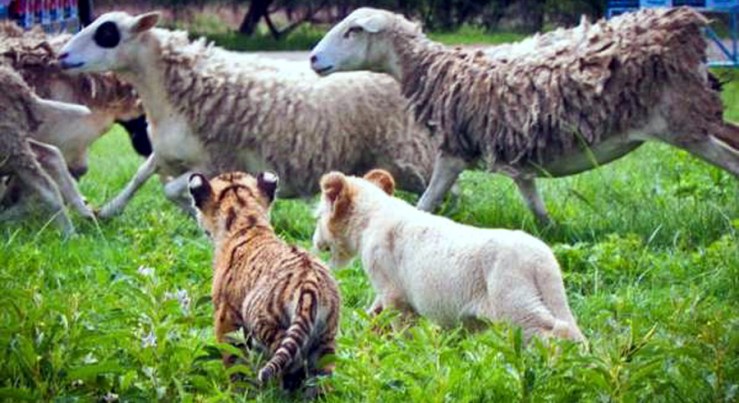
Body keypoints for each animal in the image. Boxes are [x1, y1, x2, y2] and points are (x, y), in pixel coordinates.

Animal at [0, 65, 95, 235]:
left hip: (9, 138)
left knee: (47, 187)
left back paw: (70, 234)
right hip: (15, 137)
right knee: (52, 153)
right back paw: (85, 211)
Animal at [56, 12, 438, 218]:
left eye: (106, 33)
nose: (61, 56)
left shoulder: (217, 161)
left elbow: (172, 190)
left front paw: (194, 212)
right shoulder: (166, 152)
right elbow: (140, 178)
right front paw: (108, 210)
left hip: (408, 155)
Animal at [188, 171, 341, 392]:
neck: (247, 222)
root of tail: (309, 284)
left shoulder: (226, 317)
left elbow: (233, 358)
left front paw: (236, 391)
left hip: (262, 321)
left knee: (290, 361)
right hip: (326, 338)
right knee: (322, 375)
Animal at [310, 7, 739, 224]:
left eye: (353, 30)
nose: (313, 59)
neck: (435, 70)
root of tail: (686, 23)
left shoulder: (453, 152)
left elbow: (427, 202)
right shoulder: (517, 155)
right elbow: (533, 201)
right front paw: (551, 232)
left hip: (682, 122)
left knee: (732, 162)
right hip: (700, 116)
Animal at [313, 168, 586, 342]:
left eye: (318, 217)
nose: (314, 242)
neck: (371, 217)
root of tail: (541, 259)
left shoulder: (392, 290)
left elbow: (400, 325)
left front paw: (402, 349)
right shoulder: (387, 292)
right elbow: (373, 314)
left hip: (515, 303)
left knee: (551, 330)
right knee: (572, 329)